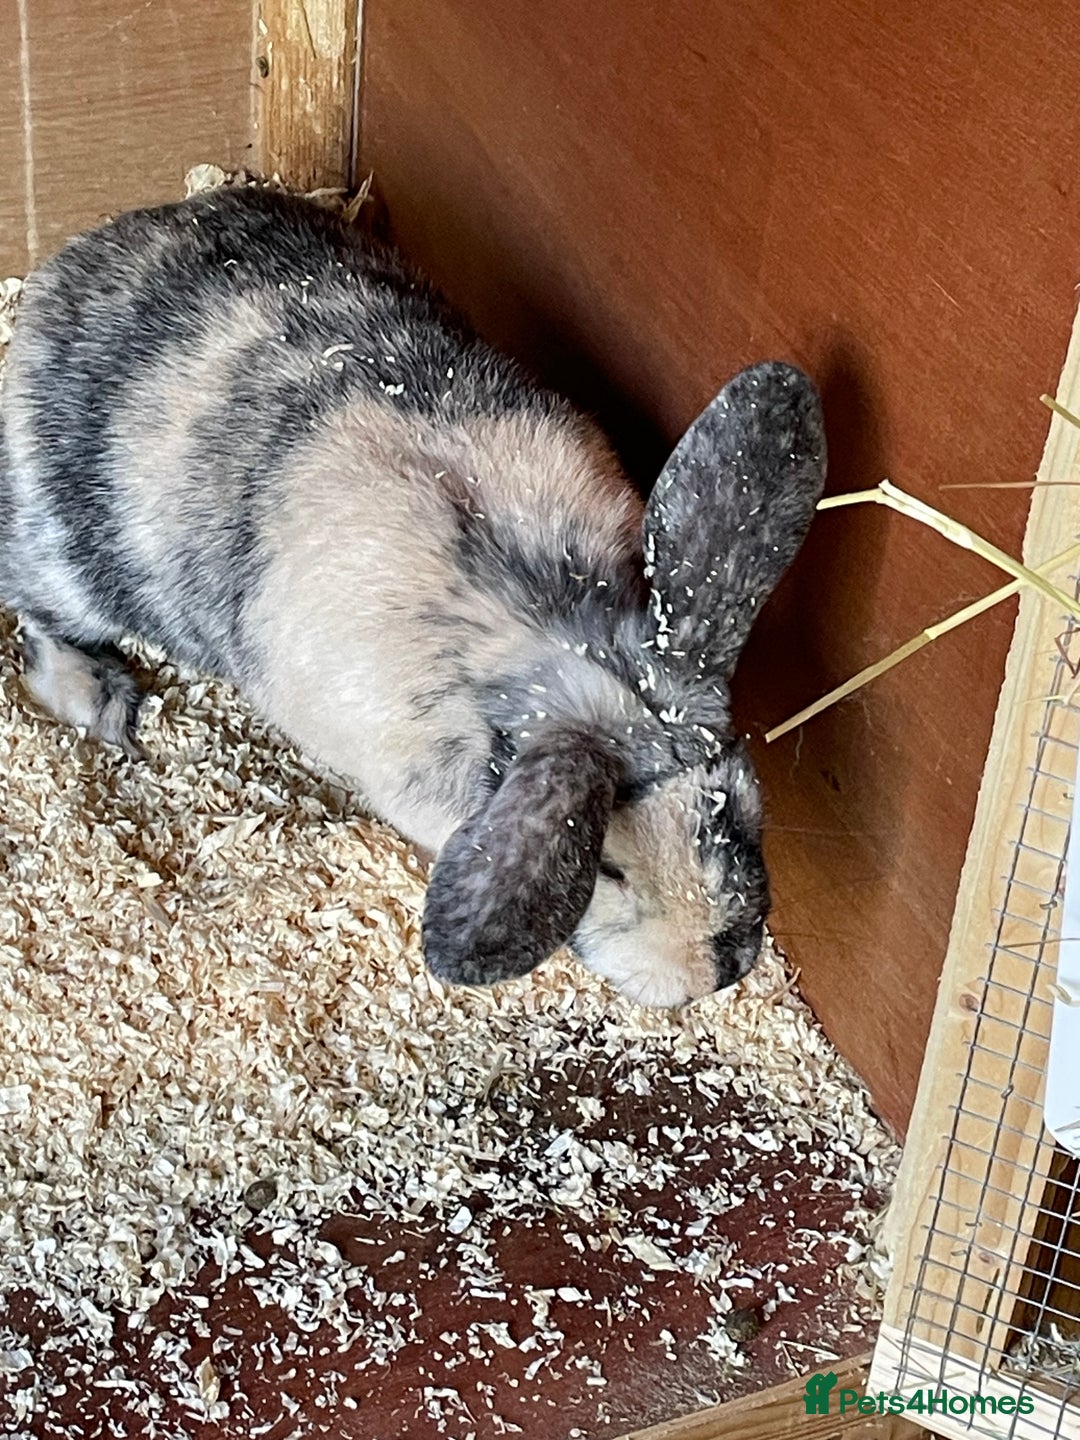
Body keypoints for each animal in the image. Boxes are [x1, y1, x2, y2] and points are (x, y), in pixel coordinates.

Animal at [0, 185, 826, 1008]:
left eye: (745, 804)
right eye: (609, 869)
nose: (716, 971)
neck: (554, 633)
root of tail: (62, 273)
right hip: (70, 569)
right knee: (36, 622)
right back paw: (105, 701)